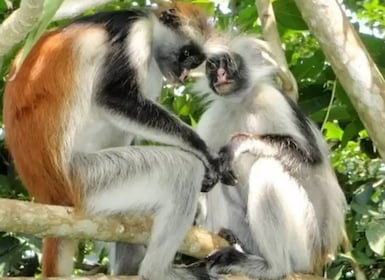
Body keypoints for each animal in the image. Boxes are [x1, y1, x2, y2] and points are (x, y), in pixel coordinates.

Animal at [3, 2, 234, 280]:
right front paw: (203, 151)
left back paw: (131, 266)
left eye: (195, 61)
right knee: (183, 170)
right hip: (89, 178)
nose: (183, 74)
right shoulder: (134, 32)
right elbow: (114, 96)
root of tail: (50, 193)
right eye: (186, 54)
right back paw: (155, 272)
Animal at [194, 36, 346, 278]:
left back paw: (273, 267)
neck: (241, 103)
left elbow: (311, 161)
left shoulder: (273, 98)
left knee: (267, 168)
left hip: (306, 243)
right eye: (212, 67)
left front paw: (238, 144)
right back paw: (228, 240)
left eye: (227, 63)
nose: (220, 75)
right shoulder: (212, 117)